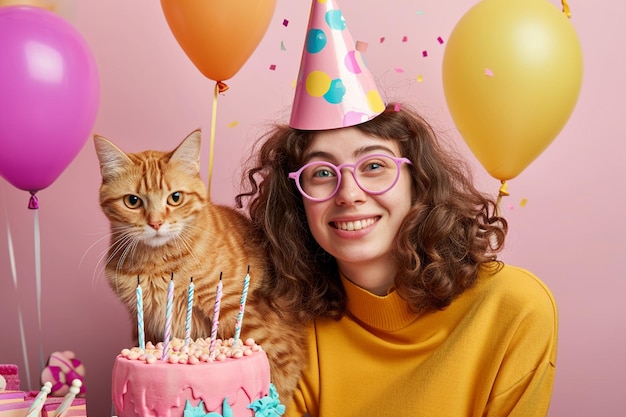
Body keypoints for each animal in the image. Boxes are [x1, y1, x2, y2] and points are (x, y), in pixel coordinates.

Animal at [92, 129, 304, 400]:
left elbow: (280, 382)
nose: (156, 223)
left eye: (175, 198)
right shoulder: (145, 324)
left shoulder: (255, 327)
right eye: (132, 201)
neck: (158, 263)